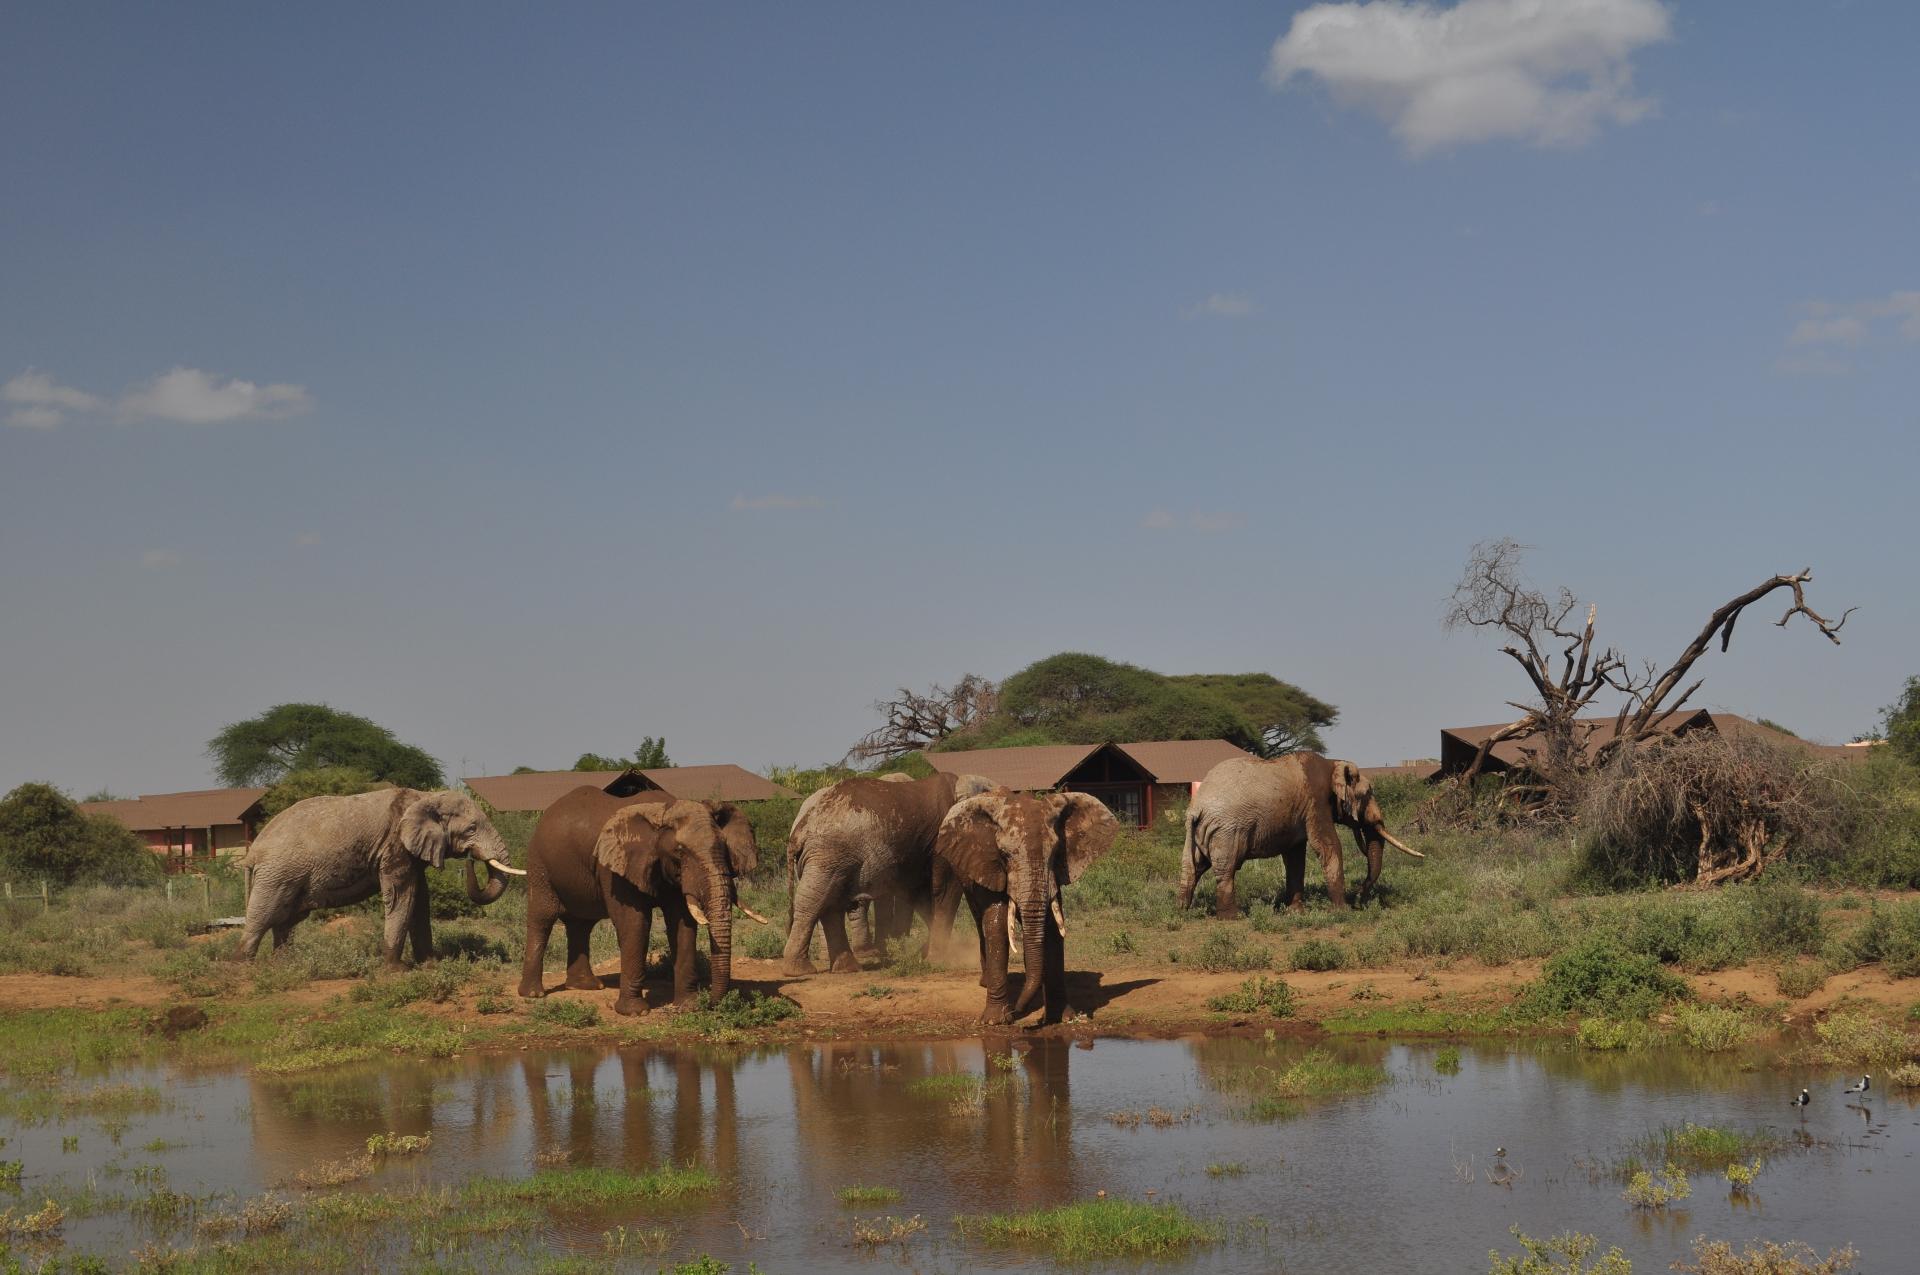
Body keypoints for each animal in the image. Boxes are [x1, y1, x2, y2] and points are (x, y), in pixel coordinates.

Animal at [238, 788, 524, 968]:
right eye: (471, 829)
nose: (471, 859)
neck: (425, 797)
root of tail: (253, 852)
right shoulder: (394, 845)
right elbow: (402, 896)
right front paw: (396, 971)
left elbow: (420, 900)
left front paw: (430, 965)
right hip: (277, 874)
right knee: (263, 916)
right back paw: (244, 969)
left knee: (285, 920)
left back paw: (283, 965)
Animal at [517, 787, 769, 1015]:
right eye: (679, 851)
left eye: (724, 847)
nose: (712, 1004)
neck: (663, 810)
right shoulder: (615, 869)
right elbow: (634, 923)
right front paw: (635, 1012)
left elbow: (682, 924)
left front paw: (688, 1006)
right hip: (539, 866)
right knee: (542, 919)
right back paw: (533, 994)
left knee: (581, 924)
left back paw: (587, 986)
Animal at [781, 771, 993, 976]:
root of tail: (799, 830)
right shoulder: (943, 836)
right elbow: (945, 888)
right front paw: (938, 959)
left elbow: (922, 895)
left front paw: (925, 953)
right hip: (828, 853)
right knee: (814, 902)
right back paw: (799, 970)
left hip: (832, 858)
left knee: (830, 902)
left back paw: (847, 968)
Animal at [932, 788, 1118, 1025]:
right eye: (1004, 855)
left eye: (1056, 852)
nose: (1018, 1012)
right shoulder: (988, 865)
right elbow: (997, 924)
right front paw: (995, 1021)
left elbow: (1052, 928)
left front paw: (1062, 1017)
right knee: (980, 923)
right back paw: (987, 982)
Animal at [1177, 753, 1423, 917]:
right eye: (1368, 793)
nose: (1359, 902)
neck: (1332, 763)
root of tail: (1197, 807)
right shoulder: (1316, 801)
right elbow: (1327, 846)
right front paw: (1341, 912)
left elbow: (1295, 856)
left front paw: (1296, 913)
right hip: (1226, 831)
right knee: (1225, 870)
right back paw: (1232, 918)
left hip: (1199, 832)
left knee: (1192, 867)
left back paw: (1183, 912)